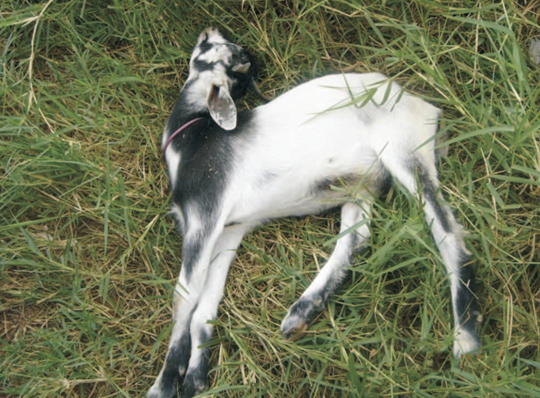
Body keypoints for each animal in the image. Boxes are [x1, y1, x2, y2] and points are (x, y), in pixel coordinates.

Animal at [148, 28, 480, 398]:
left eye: (224, 50)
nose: (210, 31)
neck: (194, 133)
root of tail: (421, 104)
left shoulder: (205, 213)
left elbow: (184, 298)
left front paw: (164, 382)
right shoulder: (229, 229)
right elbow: (203, 309)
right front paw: (195, 378)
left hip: (405, 152)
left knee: (448, 233)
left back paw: (465, 337)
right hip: (361, 185)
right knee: (356, 239)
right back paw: (303, 311)